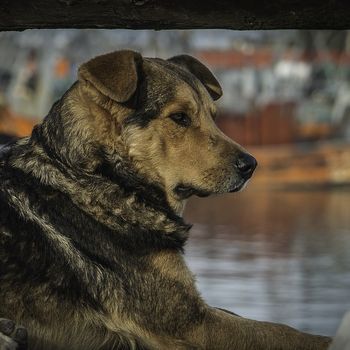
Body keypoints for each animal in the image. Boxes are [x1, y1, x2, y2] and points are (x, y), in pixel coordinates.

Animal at [0, 50, 332, 348]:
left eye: (213, 117)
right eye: (179, 117)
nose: (250, 165)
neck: (97, 176)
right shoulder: (192, 323)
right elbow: (290, 334)